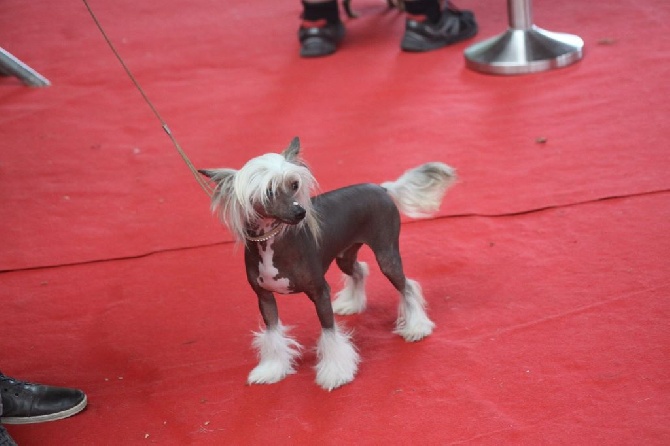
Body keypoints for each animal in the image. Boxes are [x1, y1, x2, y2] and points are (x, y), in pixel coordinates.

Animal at [200, 139, 460, 390]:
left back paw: (416, 327)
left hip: (387, 255)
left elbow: (330, 335)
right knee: (359, 270)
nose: (300, 212)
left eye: (294, 184)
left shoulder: (319, 292)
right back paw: (352, 304)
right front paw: (272, 369)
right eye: (269, 191)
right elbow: (272, 333)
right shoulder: (264, 297)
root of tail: (382, 188)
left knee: (406, 286)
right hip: (345, 256)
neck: (272, 241)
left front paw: (335, 373)